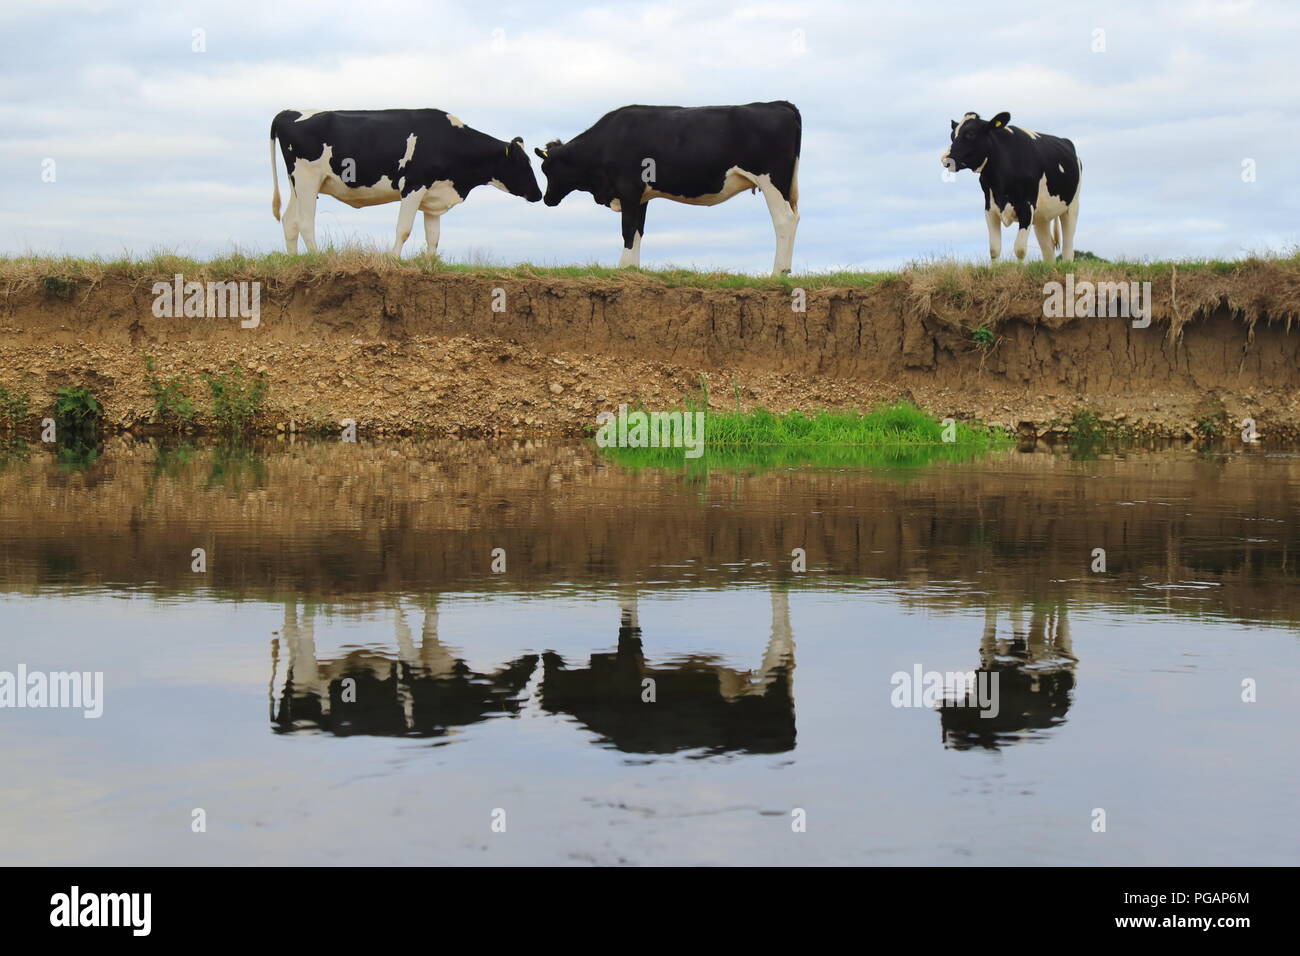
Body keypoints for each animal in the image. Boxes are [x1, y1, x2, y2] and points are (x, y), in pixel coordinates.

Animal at [270, 108, 543, 256]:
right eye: (522, 164)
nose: (539, 194)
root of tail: (288, 112)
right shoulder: (413, 185)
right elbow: (403, 229)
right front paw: (392, 259)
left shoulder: (435, 194)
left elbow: (433, 236)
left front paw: (430, 264)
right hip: (307, 178)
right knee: (305, 221)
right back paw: (317, 258)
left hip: (297, 183)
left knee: (289, 221)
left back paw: (295, 259)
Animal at [530, 105, 795, 277]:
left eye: (546, 169)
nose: (547, 199)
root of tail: (779, 104)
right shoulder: (642, 196)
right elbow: (638, 230)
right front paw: (633, 268)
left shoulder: (628, 189)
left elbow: (627, 229)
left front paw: (622, 268)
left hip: (772, 183)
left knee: (784, 221)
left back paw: (778, 272)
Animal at [941, 111, 1081, 261]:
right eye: (952, 136)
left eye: (970, 134)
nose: (945, 159)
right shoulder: (990, 209)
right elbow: (994, 249)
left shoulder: (1027, 207)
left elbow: (1020, 249)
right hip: (1042, 217)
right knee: (1047, 249)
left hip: (1072, 206)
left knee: (1067, 249)